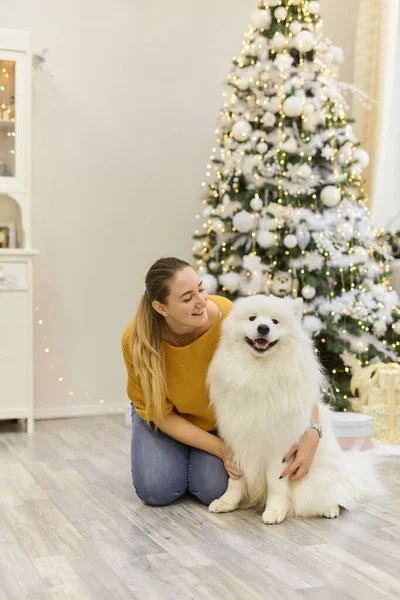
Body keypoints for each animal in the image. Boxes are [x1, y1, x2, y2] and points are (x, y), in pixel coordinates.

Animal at [208, 296, 382, 524]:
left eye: (275, 321)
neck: (258, 372)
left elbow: (275, 484)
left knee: (336, 495)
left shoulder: (279, 449)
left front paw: (274, 512)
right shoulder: (238, 440)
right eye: (252, 318)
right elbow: (235, 479)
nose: (263, 328)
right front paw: (226, 502)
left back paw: (330, 508)